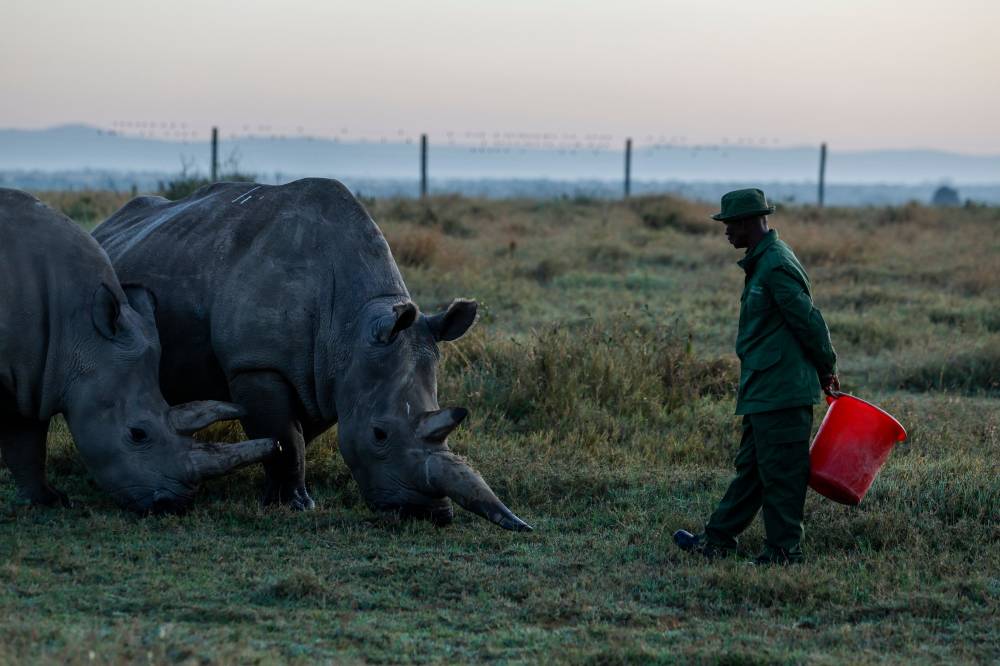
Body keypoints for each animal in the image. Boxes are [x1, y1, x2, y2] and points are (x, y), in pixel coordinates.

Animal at [0, 188, 278, 513]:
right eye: (138, 434)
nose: (171, 504)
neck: (75, 329)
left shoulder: (32, 374)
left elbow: (26, 442)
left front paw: (48, 501)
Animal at [93, 178, 531, 531]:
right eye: (380, 434)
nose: (429, 514)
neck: (353, 327)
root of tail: (108, 225)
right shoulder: (257, 364)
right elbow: (285, 437)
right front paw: (294, 505)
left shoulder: (327, 374)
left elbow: (298, 434)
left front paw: (285, 496)